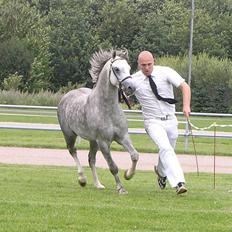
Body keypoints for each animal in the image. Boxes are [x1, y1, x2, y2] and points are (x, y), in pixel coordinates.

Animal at [57, 49, 139, 195]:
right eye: (116, 69)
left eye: (129, 68)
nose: (131, 87)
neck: (108, 110)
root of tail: (66, 96)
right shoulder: (104, 143)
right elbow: (113, 166)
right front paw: (121, 188)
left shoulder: (123, 137)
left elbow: (135, 155)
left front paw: (128, 175)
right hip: (70, 135)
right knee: (73, 151)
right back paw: (82, 179)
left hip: (92, 141)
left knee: (91, 159)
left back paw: (98, 184)